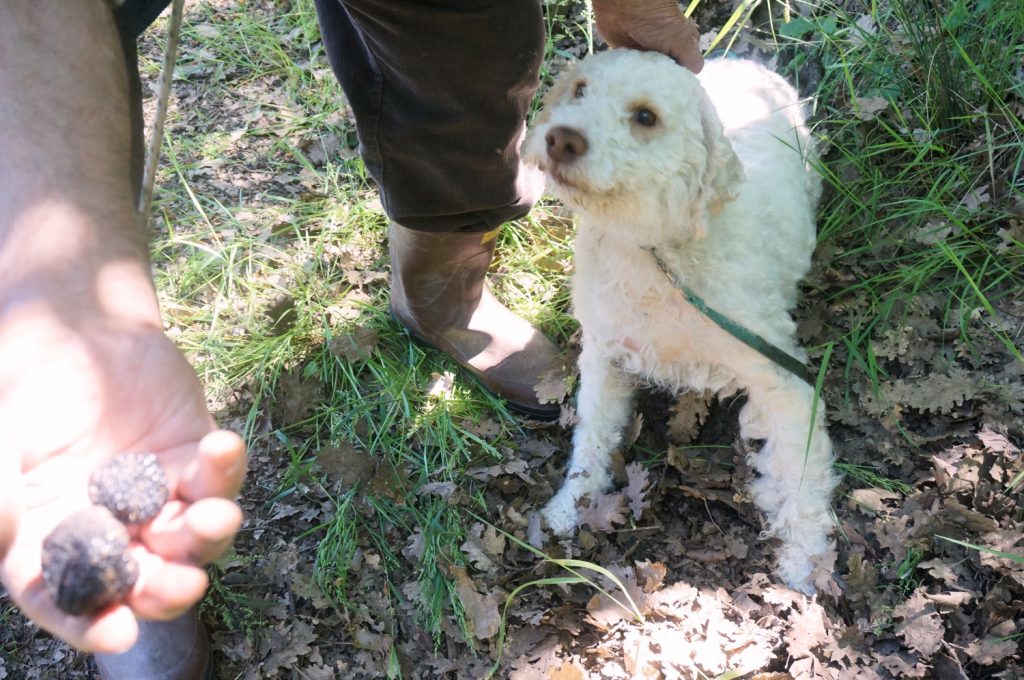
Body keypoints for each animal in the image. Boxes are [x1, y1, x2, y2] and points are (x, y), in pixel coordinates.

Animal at [524, 50, 835, 593]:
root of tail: (745, 59)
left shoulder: (782, 378)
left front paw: (804, 562)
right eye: (580, 89)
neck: (654, 254)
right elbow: (592, 437)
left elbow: (801, 474)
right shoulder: (604, 356)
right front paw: (568, 507)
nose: (561, 138)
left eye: (646, 116)